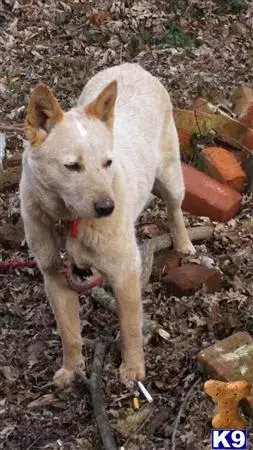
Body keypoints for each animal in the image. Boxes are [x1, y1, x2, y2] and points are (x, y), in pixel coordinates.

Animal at [19, 62, 195, 386]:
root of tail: (132, 65)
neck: (69, 222)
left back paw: (184, 243)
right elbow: (69, 334)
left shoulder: (126, 271)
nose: (107, 208)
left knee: (175, 207)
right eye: (72, 166)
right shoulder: (55, 278)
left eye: (107, 163)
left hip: (170, 176)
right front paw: (72, 369)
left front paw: (133, 369)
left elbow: (130, 327)